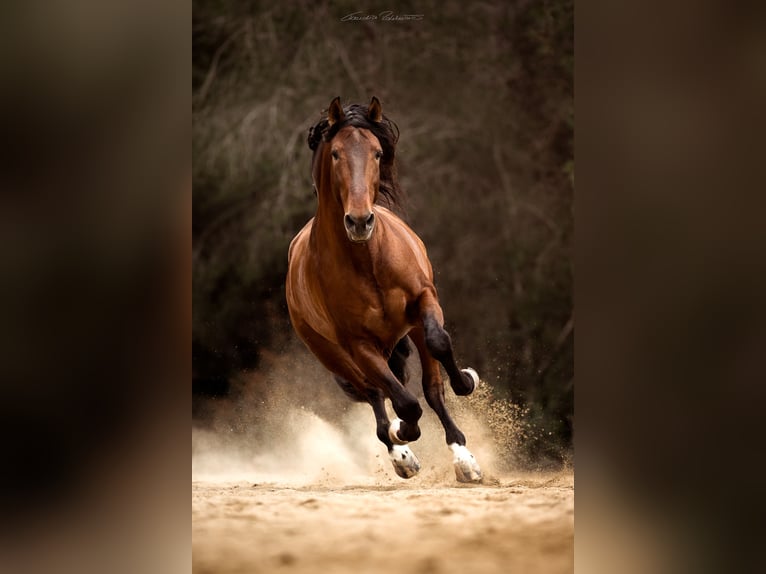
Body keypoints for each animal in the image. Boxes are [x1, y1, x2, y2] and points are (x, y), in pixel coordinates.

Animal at [284, 97, 484, 484]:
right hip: (332, 353)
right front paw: (403, 434)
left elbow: (439, 349)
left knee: (429, 388)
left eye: (377, 153)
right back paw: (400, 452)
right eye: (336, 154)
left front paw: (466, 383)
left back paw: (462, 458)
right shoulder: (358, 344)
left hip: (407, 330)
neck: (367, 260)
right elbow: (404, 402)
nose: (360, 221)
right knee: (374, 392)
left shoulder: (423, 303)